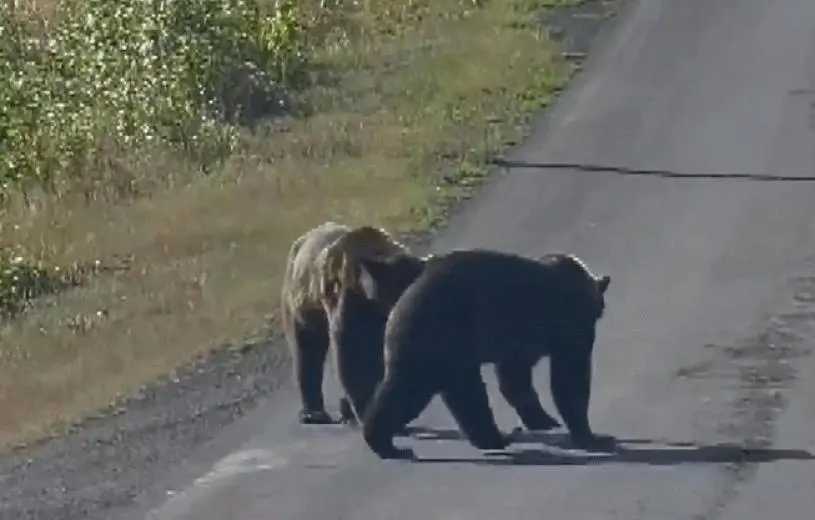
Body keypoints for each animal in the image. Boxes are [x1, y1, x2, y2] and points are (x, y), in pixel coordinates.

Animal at [280, 221, 428, 426]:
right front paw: (366, 410)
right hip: (303, 306)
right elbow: (352, 356)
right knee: (307, 352)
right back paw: (314, 414)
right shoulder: (349, 302)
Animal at [355, 248, 612, 460]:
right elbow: (569, 377)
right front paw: (592, 436)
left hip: (430, 349)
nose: (601, 309)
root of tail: (399, 307)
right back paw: (496, 438)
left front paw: (543, 419)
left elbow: (515, 378)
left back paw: (385, 444)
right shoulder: (567, 325)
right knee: (461, 394)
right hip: (446, 337)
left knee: (408, 392)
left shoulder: (516, 339)